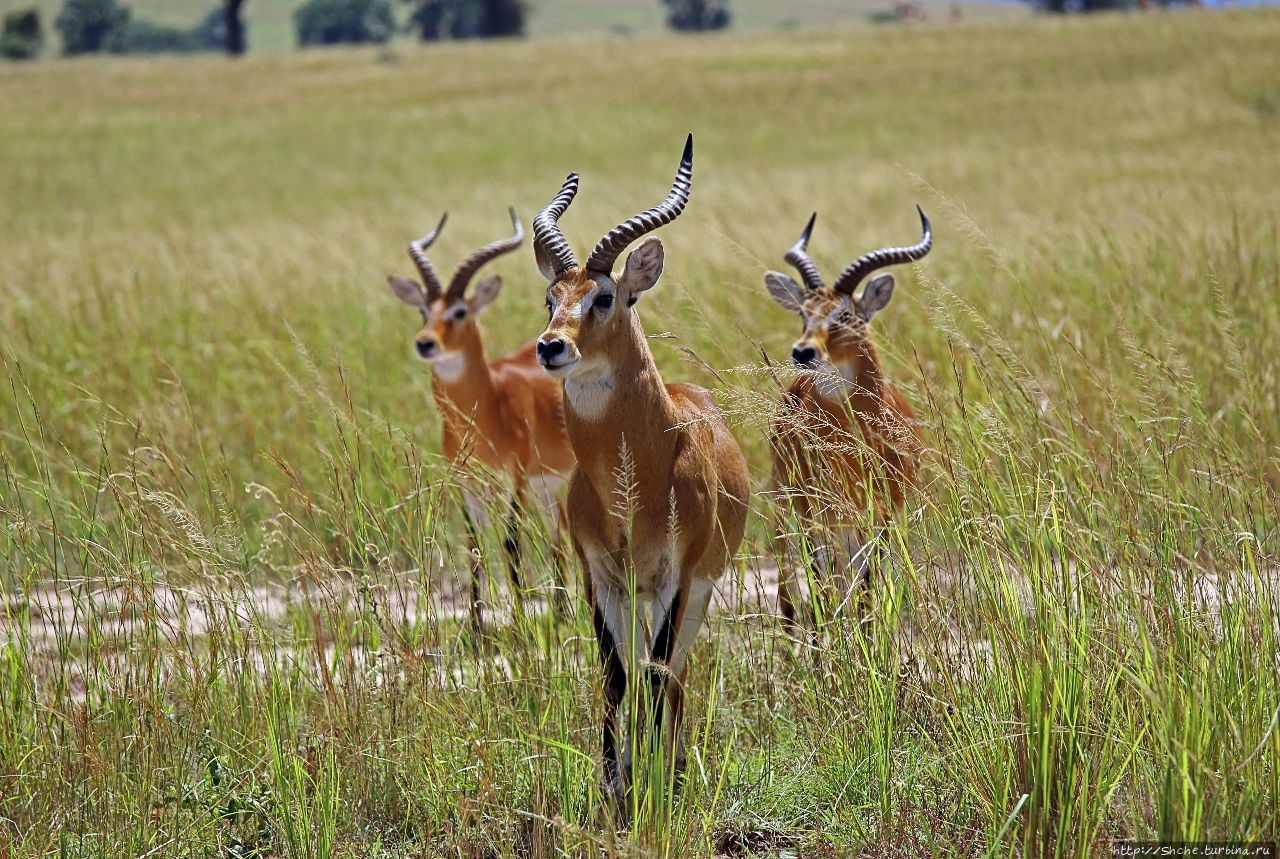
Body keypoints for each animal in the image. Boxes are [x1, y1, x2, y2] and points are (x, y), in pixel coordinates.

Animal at [384, 208, 576, 624]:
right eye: (424, 310)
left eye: (460, 311)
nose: (425, 343)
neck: (489, 407)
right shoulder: (467, 481)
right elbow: (474, 545)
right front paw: (476, 627)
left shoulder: (515, 478)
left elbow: (511, 543)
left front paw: (519, 625)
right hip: (548, 485)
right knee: (558, 537)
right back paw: (560, 616)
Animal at [529, 136, 747, 814]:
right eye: (551, 299)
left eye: (605, 295)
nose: (551, 347)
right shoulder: (600, 574)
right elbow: (615, 675)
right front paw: (613, 784)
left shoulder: (675, 575)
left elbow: (653, 674)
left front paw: (649, 783)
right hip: (638, 593)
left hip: (695, 590)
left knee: (675, 673)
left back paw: (673, 767)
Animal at [757, 206, 931, 624]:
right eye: (804, 313)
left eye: (846, 315)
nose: (803, 351)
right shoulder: (815, 516)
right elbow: (822, 586)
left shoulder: (881, 518)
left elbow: (866, 588)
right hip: (790, 509)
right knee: (796, 587)